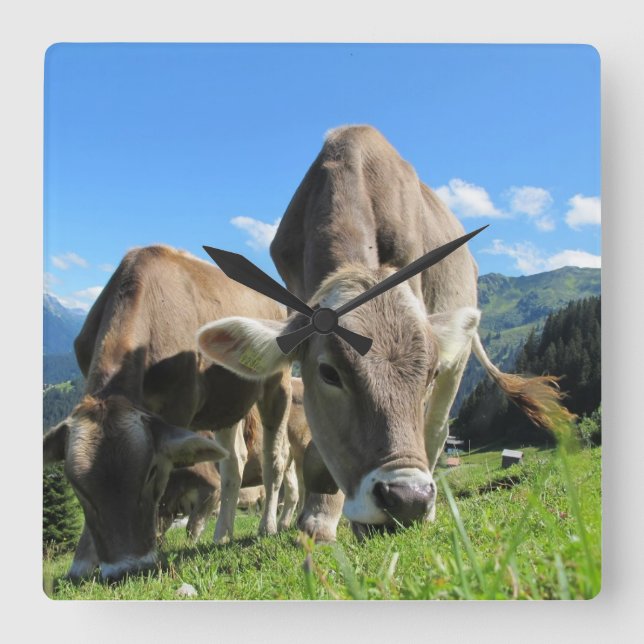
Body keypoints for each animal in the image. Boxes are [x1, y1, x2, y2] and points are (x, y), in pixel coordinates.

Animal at [43, 245, 292, 581]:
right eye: (75, 485)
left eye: (149, 472)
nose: (126, 568)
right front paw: (82, 562)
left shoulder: (178, 408)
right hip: (227, 402)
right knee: (234, 463)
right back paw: (222, 534)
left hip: (277, 383)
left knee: (274, 458)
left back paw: (268, 526)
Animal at [158, 378, 310, 540]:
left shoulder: (211, 487)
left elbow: (192, 526)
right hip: (289, 460)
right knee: (293, 489)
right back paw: (283, 524)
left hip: (302, 446)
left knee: (303, 484)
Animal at [197, 125, 574, 542]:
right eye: (329, 373)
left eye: (429, 373)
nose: (408, 499)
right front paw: (318, 518)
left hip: (457, 361)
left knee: (437, 429)